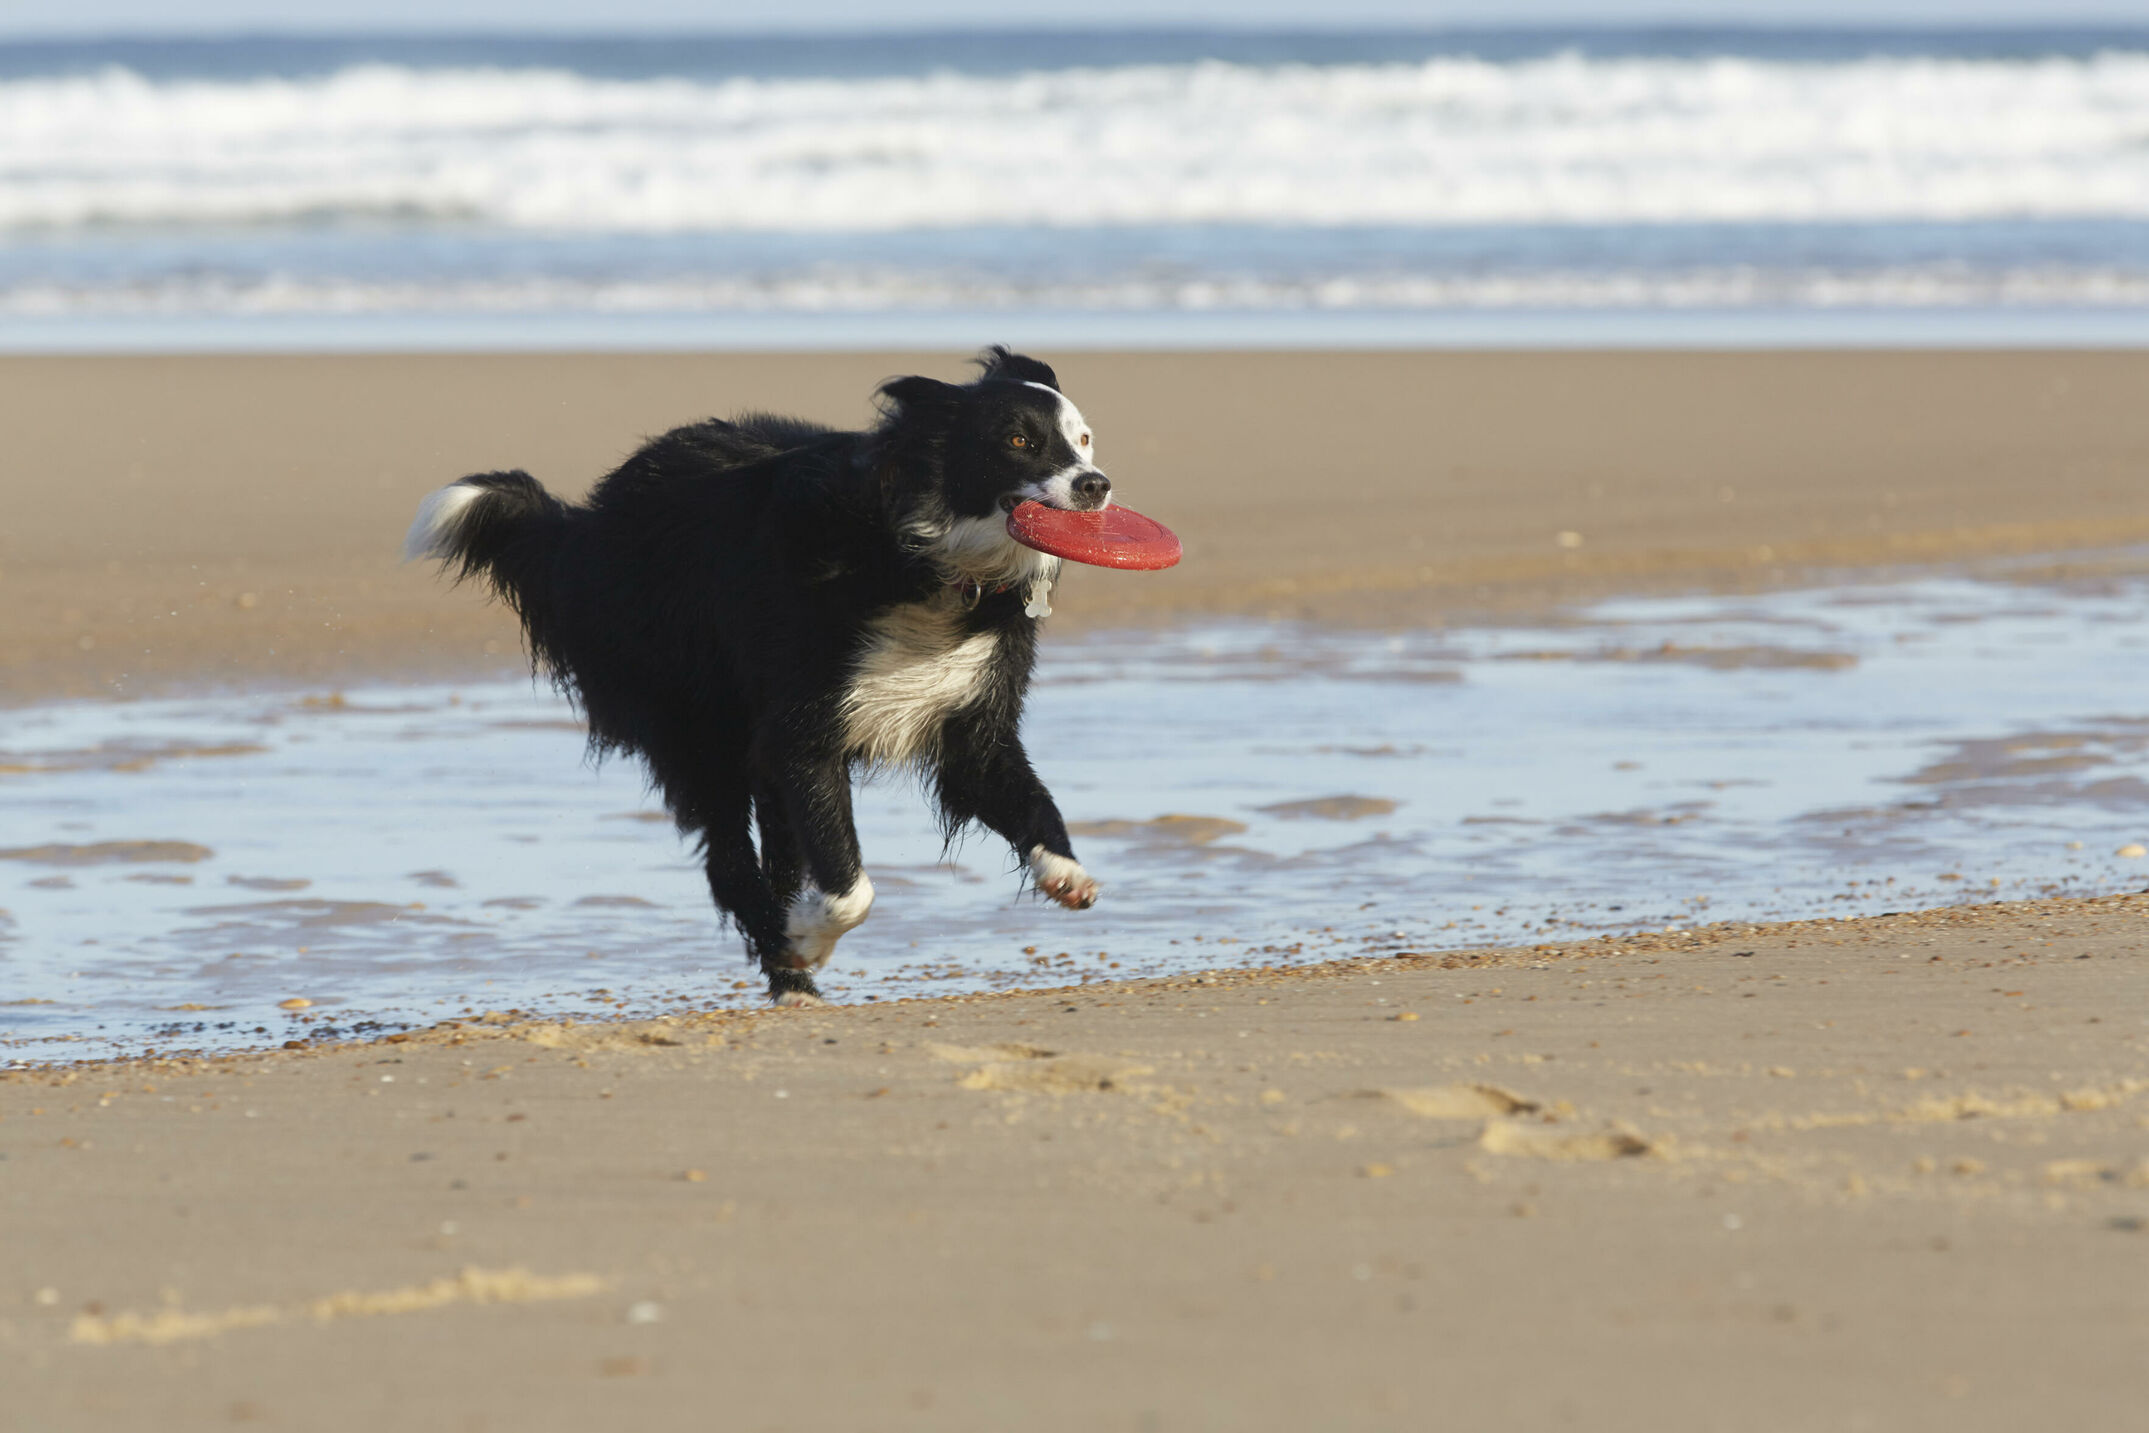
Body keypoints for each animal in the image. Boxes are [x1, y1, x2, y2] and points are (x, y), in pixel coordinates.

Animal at [404, 343, 1108, 1009]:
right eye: (1018, 441)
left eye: (1083, 439)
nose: (1096, 486)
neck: (931, 565)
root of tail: (589, 522)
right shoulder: (803, 721)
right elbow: (851, 883)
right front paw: (804, 940)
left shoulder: (969, 706)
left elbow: (1017, 789)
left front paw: (1068, 876)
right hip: (691, 719)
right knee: (730, 860)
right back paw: (788, 971)